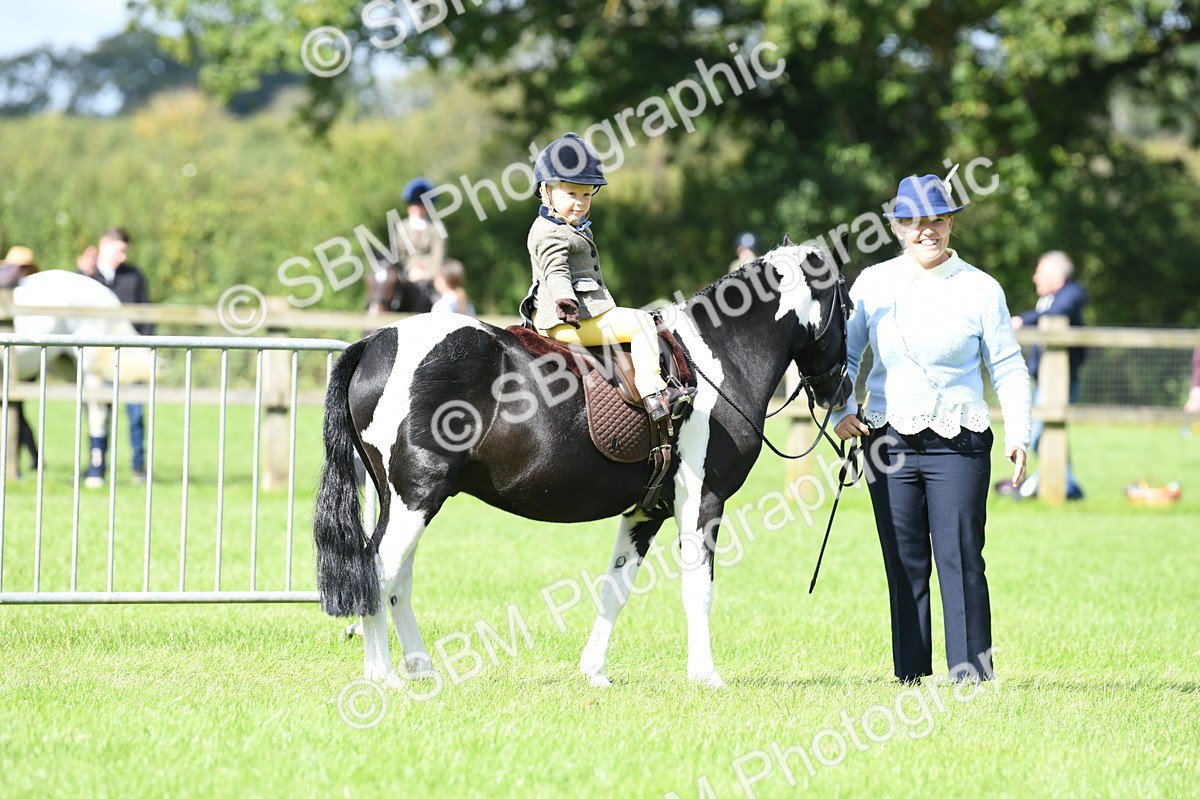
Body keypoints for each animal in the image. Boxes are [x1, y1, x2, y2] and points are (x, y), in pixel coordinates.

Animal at [314, 238, 853, 689]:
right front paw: (706, 676)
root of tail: (376, 342)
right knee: (378, 572)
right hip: (416, 496)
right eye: (846, 307)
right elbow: (698, 587)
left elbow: (616, 587)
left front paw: (594, 671)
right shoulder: (702, 501)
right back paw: (382, 676)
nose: (840, 389)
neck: (714, 362)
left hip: (405, 501)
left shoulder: (645, 512)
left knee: (397, 578)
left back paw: (419, 668)